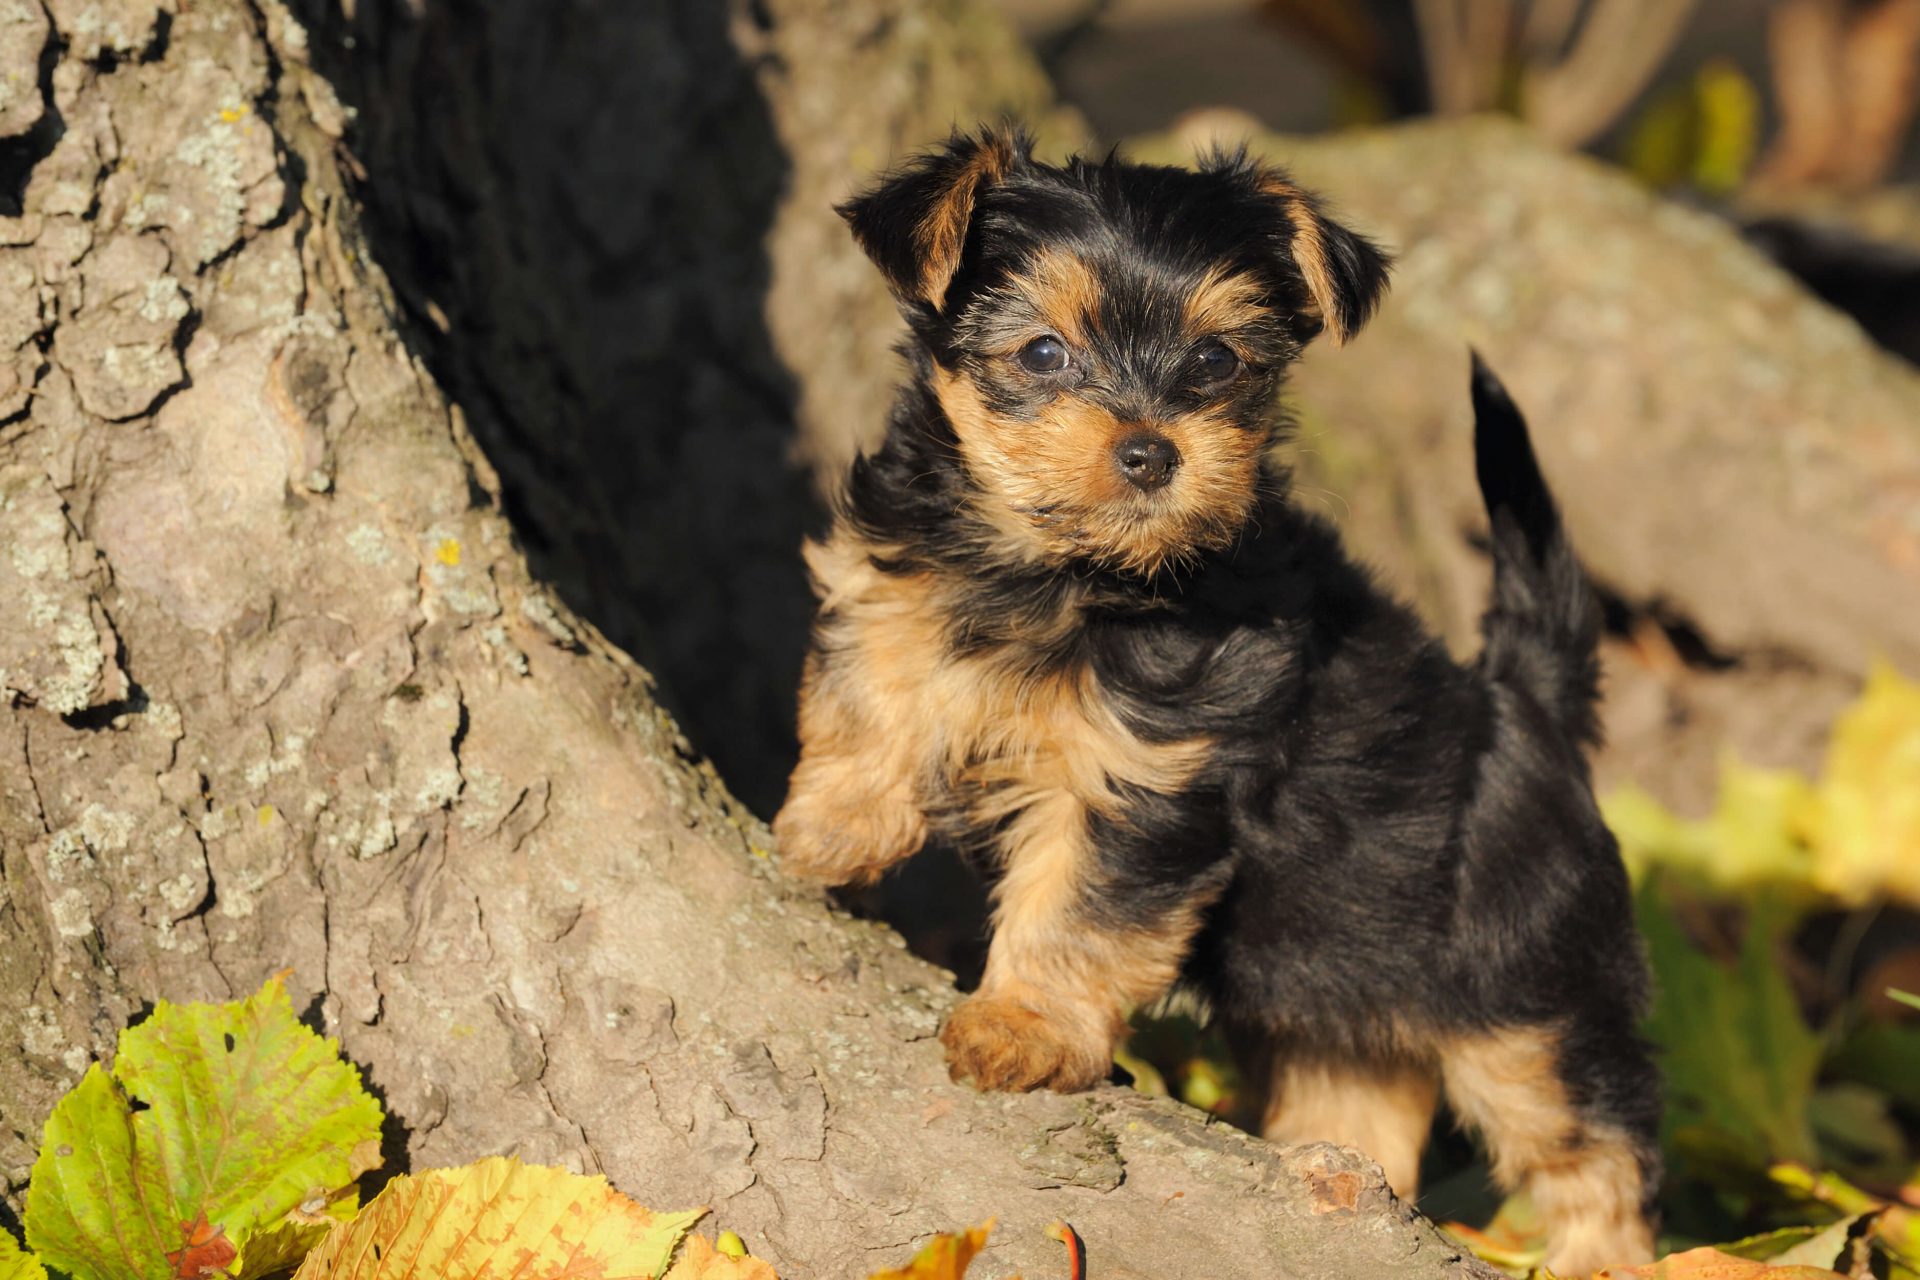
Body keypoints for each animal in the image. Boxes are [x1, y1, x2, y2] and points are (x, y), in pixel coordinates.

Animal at [771, 127, 1658, 1274]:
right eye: (1043, 354)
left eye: (1214, 362)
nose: (1153, 451)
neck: (1059, 573)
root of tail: (1527, 707)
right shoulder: (901, 573)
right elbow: (875, 667)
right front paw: (835, 824)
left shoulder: (1145, 773)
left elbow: (1078, 904)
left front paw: (1023, 1025)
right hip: (1340, 982)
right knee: (1362, 1097)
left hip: (1529, 991)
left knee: (1590, 1147)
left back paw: (1604, 1252)